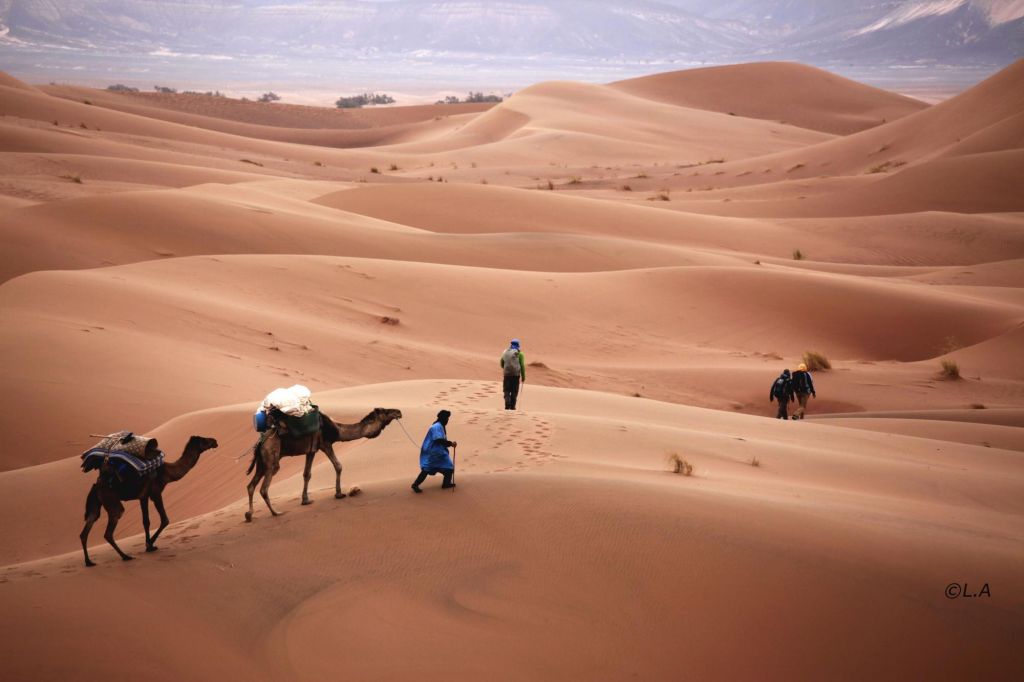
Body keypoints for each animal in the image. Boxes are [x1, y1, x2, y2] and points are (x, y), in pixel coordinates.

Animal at [79, 432, 218, 565]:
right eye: (204, 440)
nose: (215, 441)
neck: (167, 473)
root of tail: (96, 486)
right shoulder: (156, 493)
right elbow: (165, 520)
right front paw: (150, 544)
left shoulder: (143, 496)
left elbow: (146, 521)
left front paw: (149, 546)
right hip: (111, 501)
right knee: (109, 531)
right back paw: (125, 556)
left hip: (96, 503)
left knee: (86, 528)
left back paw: (89, 562)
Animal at [245, 403, 401, 520]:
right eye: (385, 411)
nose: (398, 412)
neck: (336, 429)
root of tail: (261, 442)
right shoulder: (325, 444)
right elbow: (338, 466)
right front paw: (339, 494)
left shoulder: (311, 450)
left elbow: (307, 474)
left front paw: (306, 500)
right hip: (272, 457)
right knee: (264, 488)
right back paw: (276, 512)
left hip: (261, 461)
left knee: (251, 486)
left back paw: (249, 515)